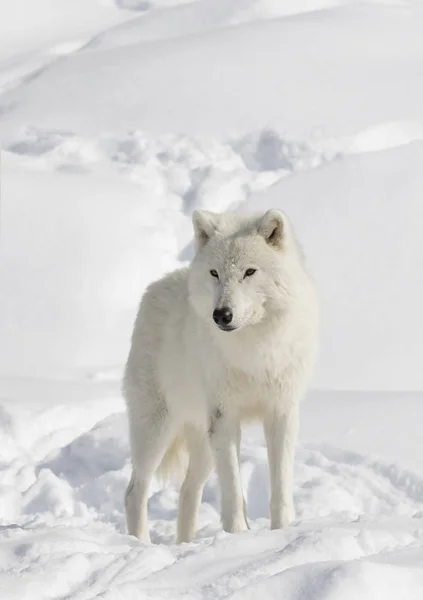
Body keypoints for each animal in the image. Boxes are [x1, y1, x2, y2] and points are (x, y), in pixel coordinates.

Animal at [124, 207, 320, 544]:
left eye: (250, 272)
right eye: (215, 273)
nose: (222, 315)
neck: (254, 350)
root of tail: (156, 286)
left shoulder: (281, 411)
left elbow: (280, 486)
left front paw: (281, 532)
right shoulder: (225, 417)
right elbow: (232, 489)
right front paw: (239, 535)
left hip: (201, 442)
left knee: (187, 491)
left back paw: (186, 546)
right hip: (157, 430)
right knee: (134, 492)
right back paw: (141, 545)